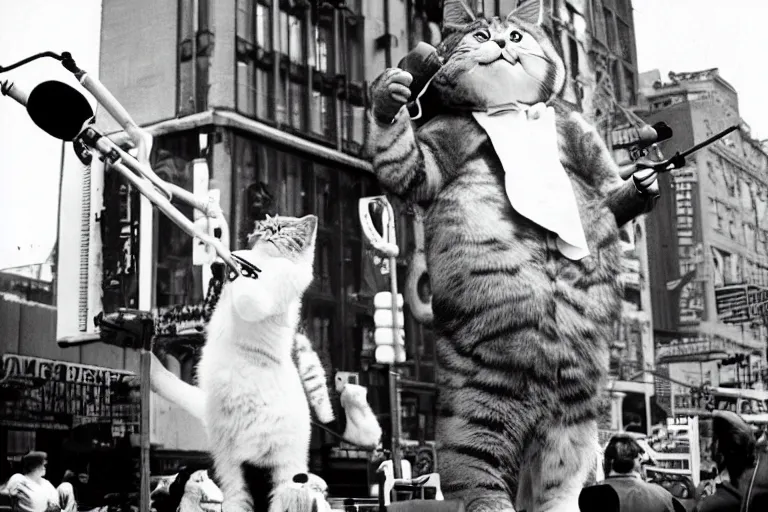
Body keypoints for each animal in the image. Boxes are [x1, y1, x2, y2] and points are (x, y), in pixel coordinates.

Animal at [368, 1, 656, 512]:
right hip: (475, 413)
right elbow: (408, 168)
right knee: (479, 480)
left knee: (556, 485)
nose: (502, 43)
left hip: (571, 425)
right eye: (481, 34)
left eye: (517, 35)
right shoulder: (441, 142)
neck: (512, 112)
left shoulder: (579, 133)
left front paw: (644, 184)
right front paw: (390, 95)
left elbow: (609, 189)